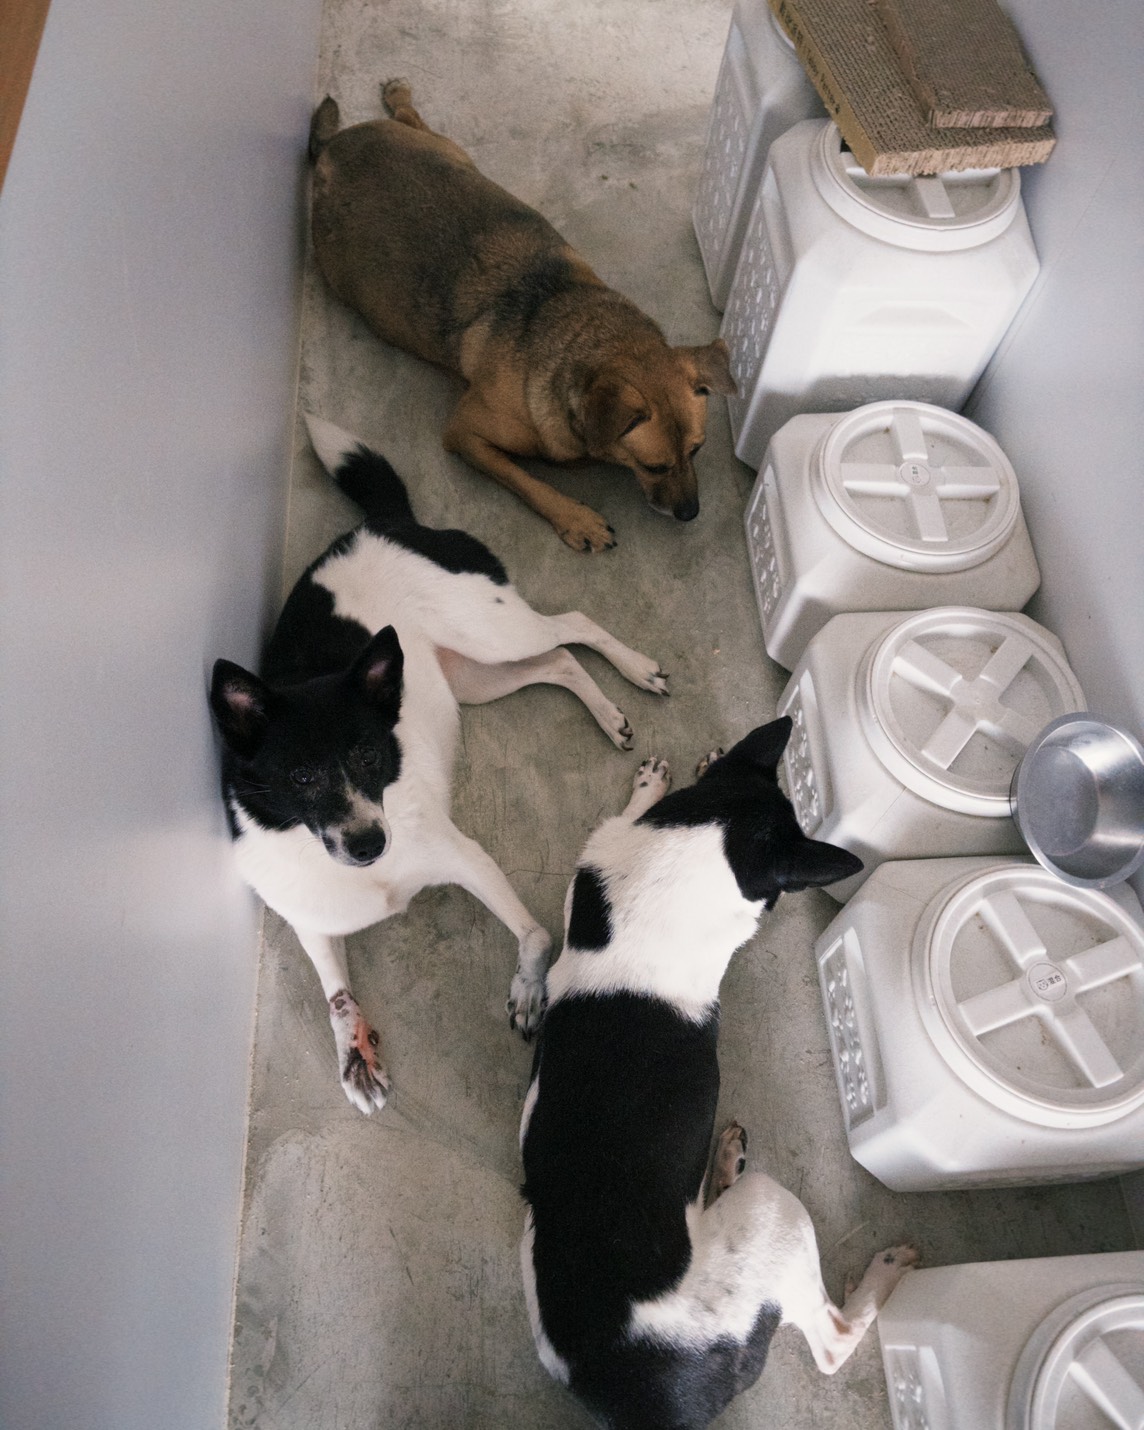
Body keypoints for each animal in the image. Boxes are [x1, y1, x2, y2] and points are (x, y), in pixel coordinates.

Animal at [209, 414, 668, 1113]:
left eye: (369, 754)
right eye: (301, 777)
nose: (369, 845)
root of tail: (389, 523)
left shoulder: (469, 859)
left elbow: (535, 935)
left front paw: (529, 989)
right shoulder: (314, 924)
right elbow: (336, 997)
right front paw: (355, 1058)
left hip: (493, 633)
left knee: (574, 625)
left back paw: (637, 669)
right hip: (475, 677)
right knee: (559, 663)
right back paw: (608, 713)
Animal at [307, 81, 737, 554]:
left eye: (696, 450)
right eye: (655, 466)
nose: (690, 514)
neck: (586, 339)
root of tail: (332, 146)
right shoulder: (464, 433)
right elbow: (527, 481)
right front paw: (575, 518)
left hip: (453, 153)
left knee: (414, 120)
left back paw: (399, 97)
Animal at [519, 720, 917, 1429]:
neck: (705, 841)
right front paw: (650, 787)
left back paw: (725, 1163)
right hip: (773, 1213)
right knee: (832, 1342)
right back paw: (884, 1267)